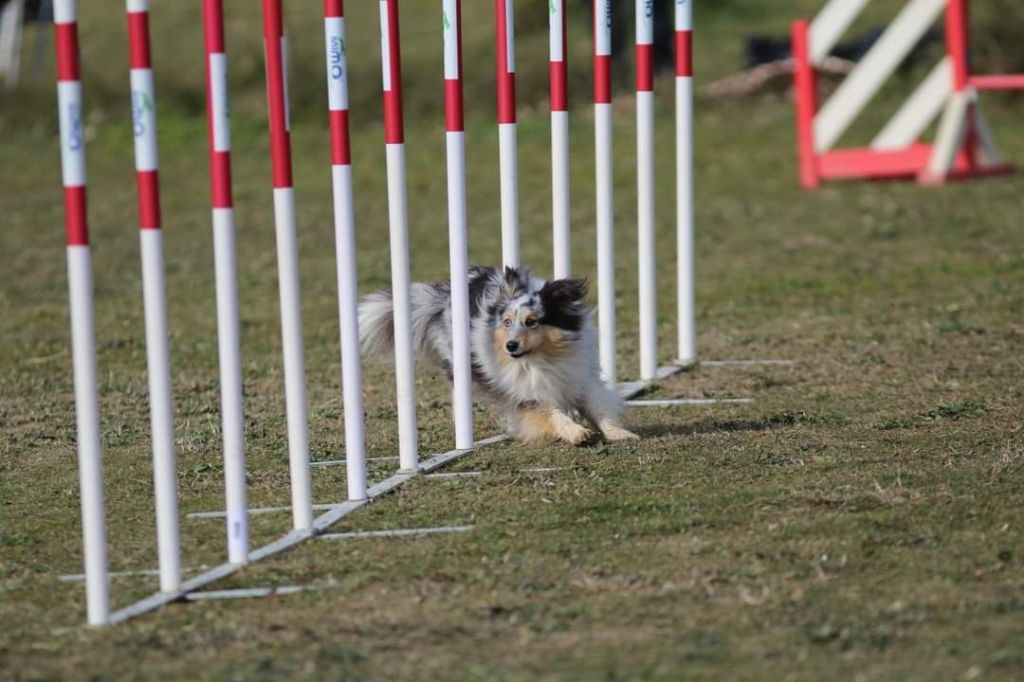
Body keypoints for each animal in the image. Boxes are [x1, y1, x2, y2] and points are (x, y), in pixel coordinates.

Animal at [356, 262, 634, 444]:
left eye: (532, 322)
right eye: (507, 322)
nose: (510, 346)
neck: (543, 357)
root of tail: (443, 295)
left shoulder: (580, 374)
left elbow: (598, 406)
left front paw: (620, 433)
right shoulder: (525, 389)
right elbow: (550, 412)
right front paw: (575, 433)